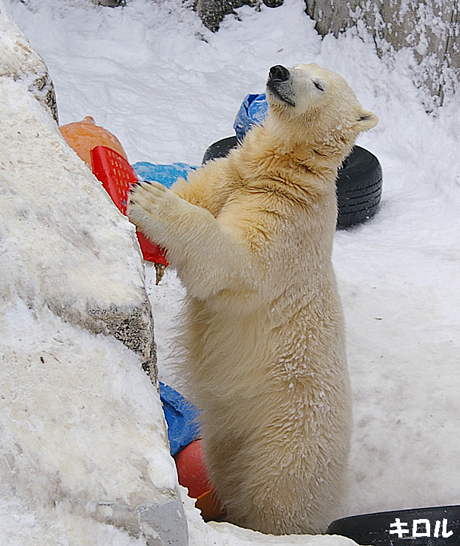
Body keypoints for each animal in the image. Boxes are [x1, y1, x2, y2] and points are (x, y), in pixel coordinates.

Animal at [128, 62, 378, 532]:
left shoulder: (286, 225)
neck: (280, 174)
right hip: (232, 438)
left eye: (318, 84)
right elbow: (200, 191)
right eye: (297, 62)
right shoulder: (233, 175)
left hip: (286, 443)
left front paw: (150, 199)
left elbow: (235, 261)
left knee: (275, 500)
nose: (277, 72)